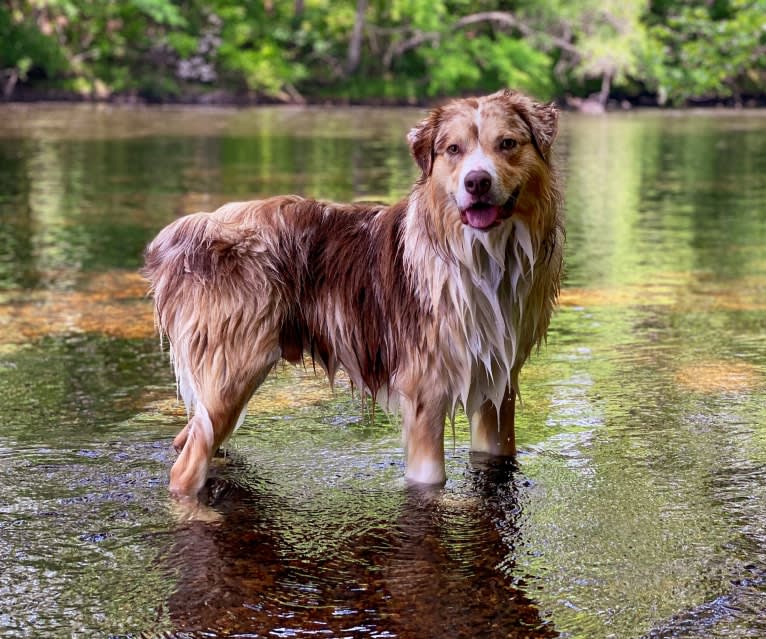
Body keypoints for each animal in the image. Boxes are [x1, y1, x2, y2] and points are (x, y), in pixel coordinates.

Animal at [142, 90, 564, 500]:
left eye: (507, 144)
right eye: (453, 149)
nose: (477, 182)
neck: (483, 257)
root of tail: (189, 229)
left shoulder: (499, 383)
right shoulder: (424, 392)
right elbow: (429, 480)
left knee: (188, 438)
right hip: (234, 370)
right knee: (186, 467)